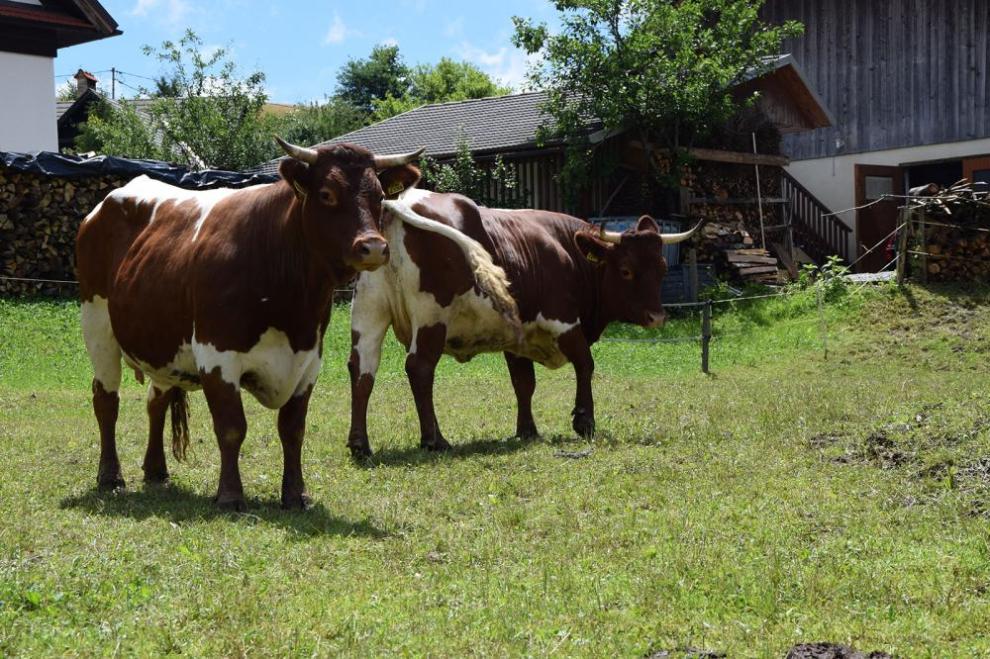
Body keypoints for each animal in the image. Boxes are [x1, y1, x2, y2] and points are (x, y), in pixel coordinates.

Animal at [76, 138, 426, 510]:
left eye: (378, 196)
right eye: (327, 193)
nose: (373, 247)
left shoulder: (308, 360)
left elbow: (292, 430)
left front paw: (295, 494)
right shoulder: (217, 355)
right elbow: (232, 428)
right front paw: (230, 495)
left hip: (161, 343)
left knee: (156, 402)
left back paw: (156, 470)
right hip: (97, 327)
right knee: (106, 400)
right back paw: (110, 476)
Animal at [348, 180, 704, 458]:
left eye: (661, 267)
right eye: (627, 270)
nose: (657, 316)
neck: (566, 251)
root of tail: (400, 203)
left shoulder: (516, 339)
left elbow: (524, 383)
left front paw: (527, 430)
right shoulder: (564, 322)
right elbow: (585, 365)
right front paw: (584, 422)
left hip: (369, 312)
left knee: (362, 370)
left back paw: (360, 445)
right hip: (431, 318)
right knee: (419, 368)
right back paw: (434, 440)